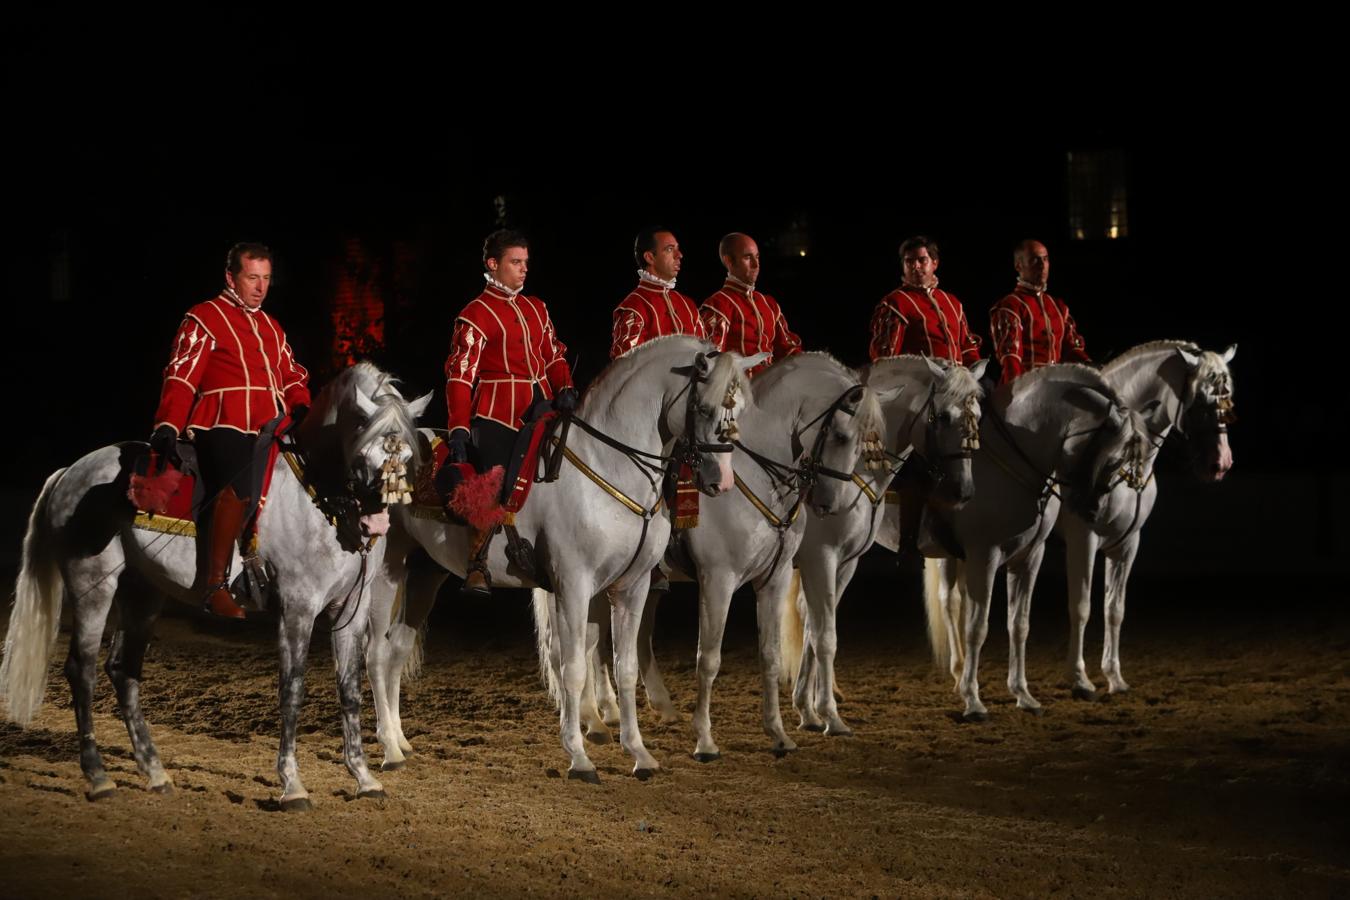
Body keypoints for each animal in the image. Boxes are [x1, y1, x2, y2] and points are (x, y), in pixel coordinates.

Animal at [0, 361, 429, 804]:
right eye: (365, 446)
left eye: (407, 455)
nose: (377, 520)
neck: (318, 495)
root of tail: (70, 471)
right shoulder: (298, 607)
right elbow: (292, 689)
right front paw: (292, 784)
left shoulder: (349, 610)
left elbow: (349, 688)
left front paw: (364, 777)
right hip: (92, 585)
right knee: (81, 669)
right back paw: (98, 776)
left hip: (143, 592)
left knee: (123, 669)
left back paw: (155, 772)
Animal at [367, 337, 761, 782]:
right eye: (704, 409)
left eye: (740, 411)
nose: (721, 481)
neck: (612, 465)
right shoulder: (573, 584)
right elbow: (572, 667)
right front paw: (579, 756)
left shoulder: (632, 586)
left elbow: (625, 668)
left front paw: (639, 753)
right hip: (386, 574)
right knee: (377, 654)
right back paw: (389, 749)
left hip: (424, 573)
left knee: (398, 649)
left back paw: (400, 740)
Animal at [788, 356, 988, 734]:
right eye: (943, 416)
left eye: (978, 416)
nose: (965, 490)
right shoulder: (820, 556)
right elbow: (822, 631)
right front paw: (825, 712)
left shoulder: (842, 562)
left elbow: (816, 625)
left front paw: (808, 709)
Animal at [918, 361, 1150, 723]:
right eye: (1114, 460)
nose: (1089, 509)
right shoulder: (986, 555)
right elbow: (978, 627)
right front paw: (973, 701)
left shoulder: (1030, 557)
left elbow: (1020, 623)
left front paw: (1023, 695)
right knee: (950, 602)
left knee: (954, 601)